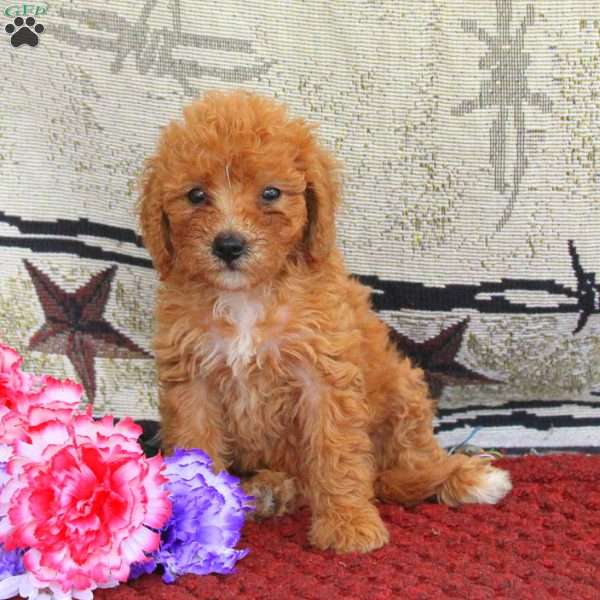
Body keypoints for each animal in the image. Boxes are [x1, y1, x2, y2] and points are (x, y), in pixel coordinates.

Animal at [141, 89, 510, 552]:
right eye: (195, 195)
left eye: (271, 193)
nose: (228, 245)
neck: (248, 297)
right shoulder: (193, 381)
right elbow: (196, 448)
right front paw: (197, 527)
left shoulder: (324, 374)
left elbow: (337, 453)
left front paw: (348, 524)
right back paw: (270, 490)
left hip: (403, 390)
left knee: (402, 469)